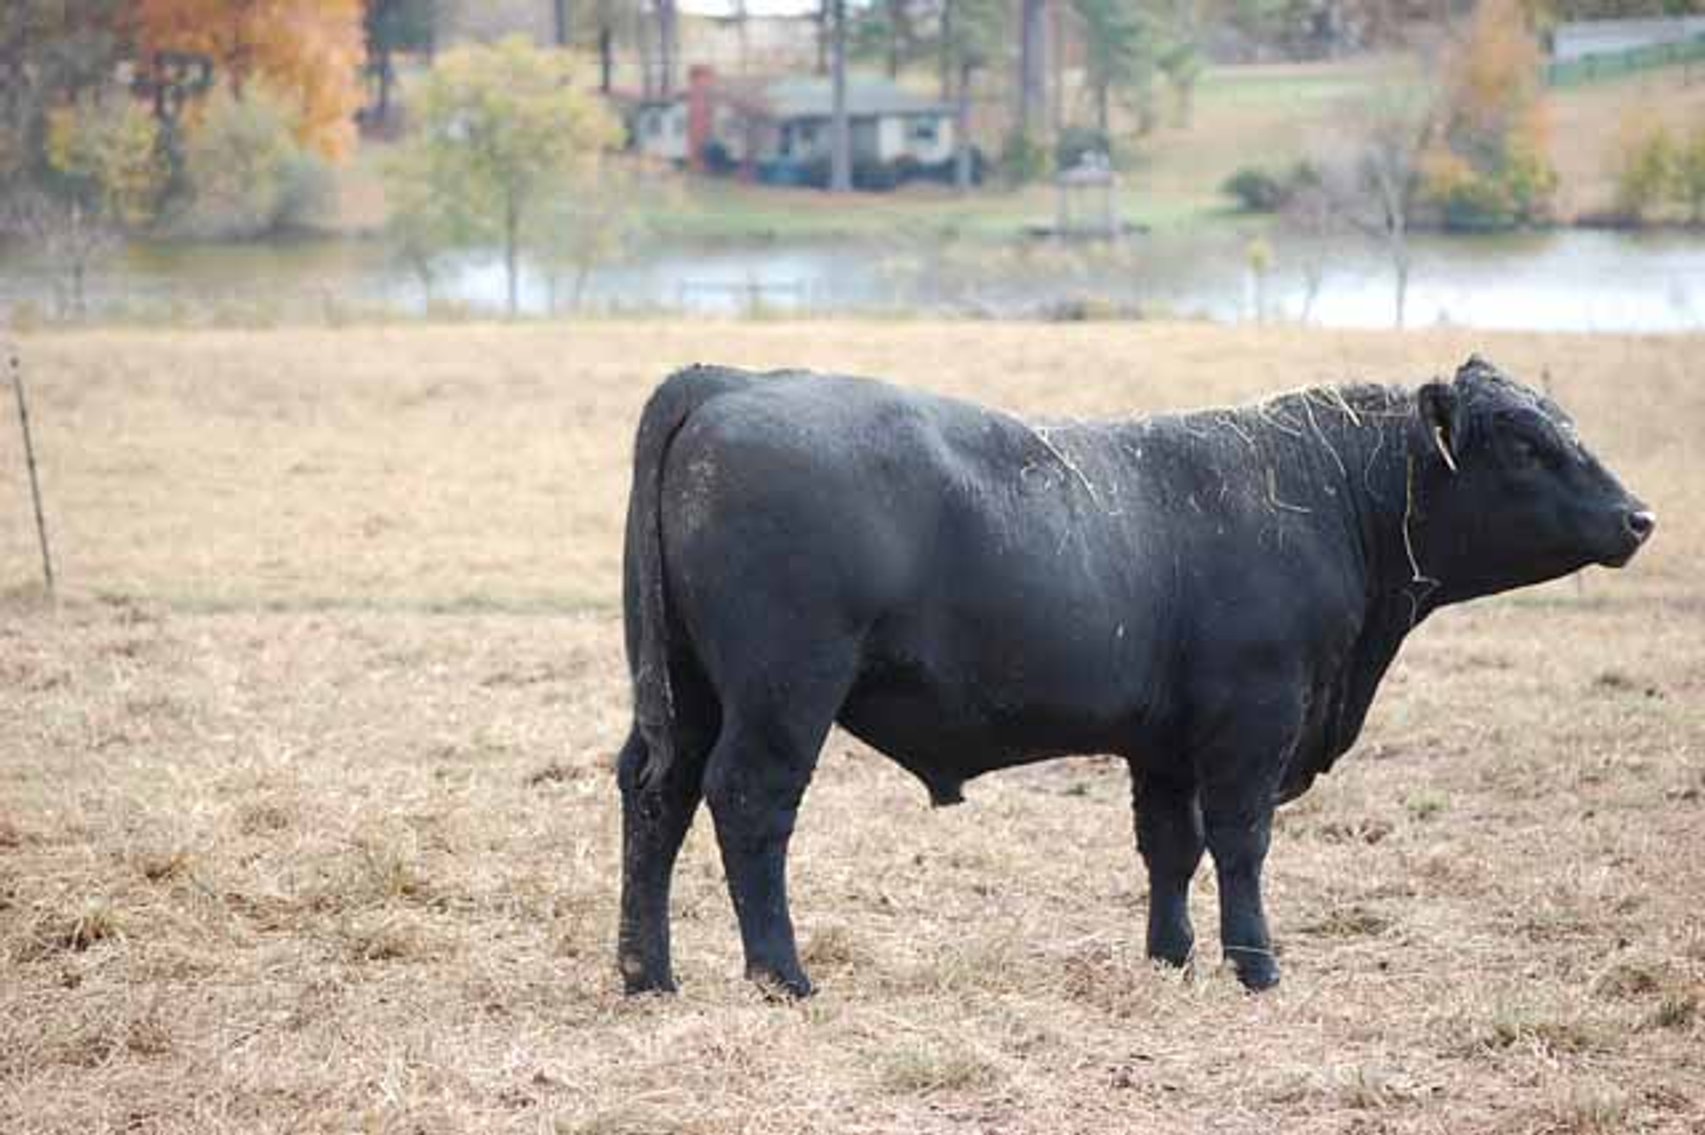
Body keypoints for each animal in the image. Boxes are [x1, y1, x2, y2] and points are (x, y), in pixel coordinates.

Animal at [614, 355, 1654, 996]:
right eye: (1524, 443)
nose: (1637, 516)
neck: (1323, 497)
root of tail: (731, 380)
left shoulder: (1164, 743)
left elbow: (1169, 847)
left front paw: (1171, 957)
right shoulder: (1252, 722)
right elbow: (1239, 841)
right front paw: (1255, 965)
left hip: (686, 692)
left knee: (654, 796)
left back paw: (645, 972)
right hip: (784, 692)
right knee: (749, 804)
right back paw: (780, 974)